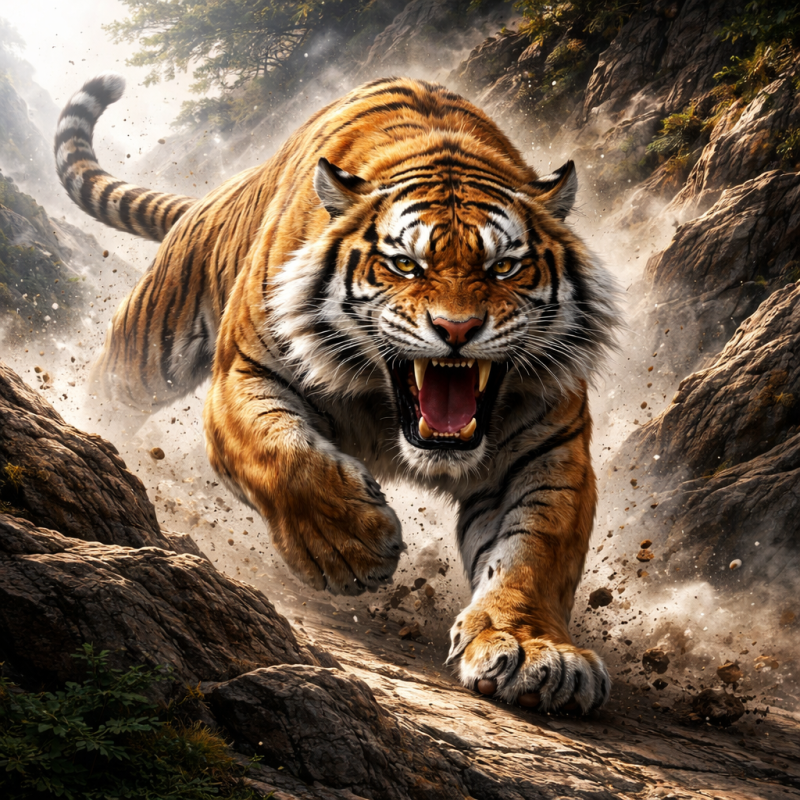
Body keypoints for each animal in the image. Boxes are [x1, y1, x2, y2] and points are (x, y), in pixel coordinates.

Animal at [55, 72, 619, 713]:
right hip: (149, 347)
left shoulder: (550, 448)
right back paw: (82, 434)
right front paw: (351, 547)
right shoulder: (243, 374)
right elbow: (285, 457)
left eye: (504, 268)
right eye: (404, 265)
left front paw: (534, 650)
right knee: (106, 392)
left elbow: (535, 551)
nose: (456, 329)